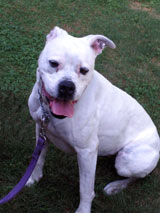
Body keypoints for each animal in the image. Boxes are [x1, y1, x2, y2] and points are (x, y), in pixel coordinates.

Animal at [26, 27, 160, 213]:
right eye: (53, 63)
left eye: (84, 70)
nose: (67, 87)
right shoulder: (41, 129)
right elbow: (38, 158)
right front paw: (33, 178)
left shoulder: (86, 152)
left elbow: (86, 189)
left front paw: (83, 210)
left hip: (128, 162)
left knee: (139, 177)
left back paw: (116, 186)